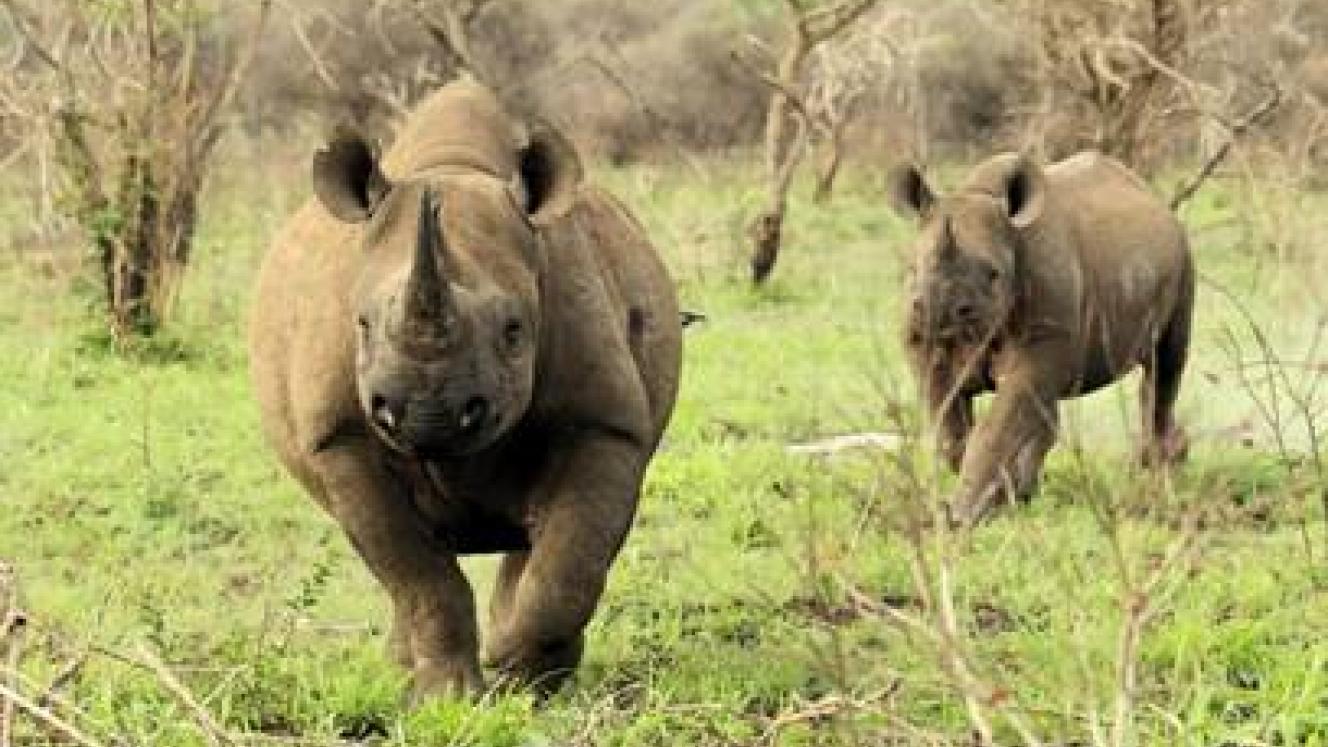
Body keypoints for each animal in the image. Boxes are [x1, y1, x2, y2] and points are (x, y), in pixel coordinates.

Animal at [248, 81, 682, 699]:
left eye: (514, 331)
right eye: (360, 324)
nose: (426, 414)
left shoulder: (604, 421)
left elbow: (570, 563)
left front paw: (519, 675)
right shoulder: (341, 436)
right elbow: (418, 575)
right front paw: (446, 696)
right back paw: (406, 672)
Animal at [888, 151, 1194, 525]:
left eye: (993, 274)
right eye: (911, 270)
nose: (938, 311)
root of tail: (1154, 199)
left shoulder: (1044, 331)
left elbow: (996, 428)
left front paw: (964, 516)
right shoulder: (925, 347)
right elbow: (950, 428)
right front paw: (997, 500)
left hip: (1184, 258)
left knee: (1165, 363)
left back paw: (1159, 471)